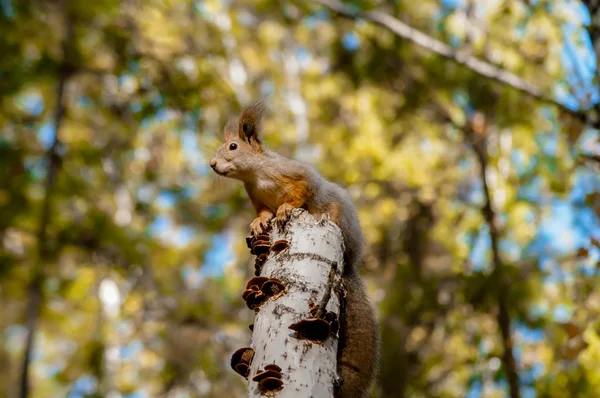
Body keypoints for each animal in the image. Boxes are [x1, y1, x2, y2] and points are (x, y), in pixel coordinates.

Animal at [210, 100, 380, 398]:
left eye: (232, 147)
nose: (212, 163)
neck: (256, 174)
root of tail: (350, 261)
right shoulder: (256, 198)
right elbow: (263, 212)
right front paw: (259, 222)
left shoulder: (299, 176)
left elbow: (300, 193)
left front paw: (285, 209)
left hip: (337, 214)